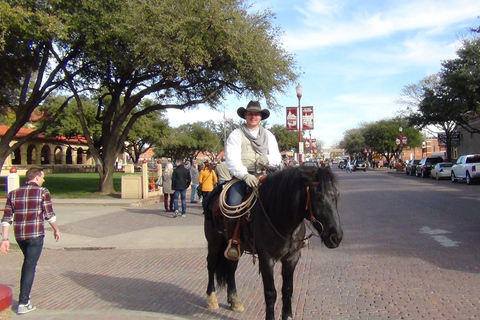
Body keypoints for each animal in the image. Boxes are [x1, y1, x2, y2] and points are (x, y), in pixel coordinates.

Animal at [202, 165, 342, 320]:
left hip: (234, 247)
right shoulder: (266, 259)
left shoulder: (291, 258)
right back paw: (211, 299)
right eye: (318, 197)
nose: (336, 237)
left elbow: (287, 290)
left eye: (336, 195)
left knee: (231, 267)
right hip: (214, 243)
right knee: (211, 265)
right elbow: (270, 293)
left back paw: (235, 301)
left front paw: (288, 316)